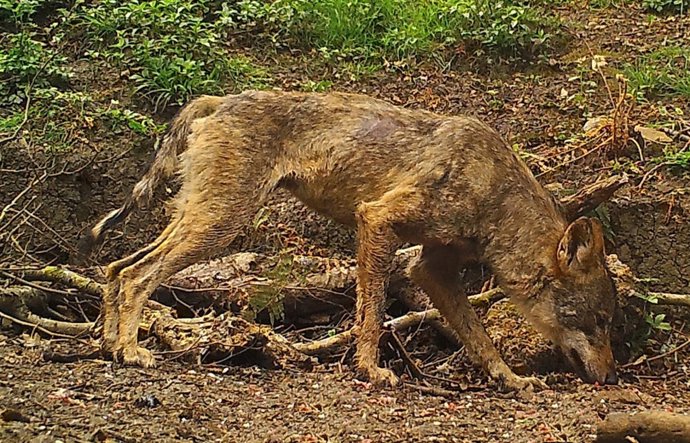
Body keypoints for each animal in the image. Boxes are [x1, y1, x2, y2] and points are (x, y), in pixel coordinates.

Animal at [77, 90, 618, 390]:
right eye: (601, 321)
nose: (613, 376)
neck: (496, 198)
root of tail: (220, 100)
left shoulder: (430, 269)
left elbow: (480, 338)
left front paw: (511, 379)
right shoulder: (376, 222)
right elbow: (372, 315)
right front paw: (371, 371)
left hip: (200, 219)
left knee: (116, 269)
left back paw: (109, 344)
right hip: (219, 224)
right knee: (137, 274)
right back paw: (131, 350)